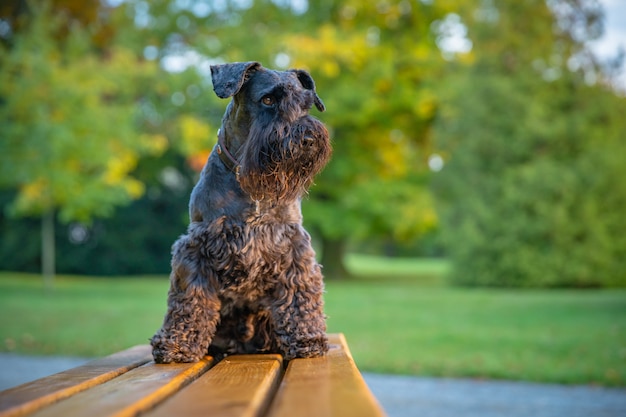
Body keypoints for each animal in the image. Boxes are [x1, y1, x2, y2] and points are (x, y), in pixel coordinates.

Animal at [150, 61, 332, 360]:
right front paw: (178, 343)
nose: (307, 138)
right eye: (268, 99)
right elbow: (190, 297)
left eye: (306, 104)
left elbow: (299, 292)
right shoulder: (195, 248)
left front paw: (307, 338)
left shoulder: (294, 246)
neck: (251, 189)